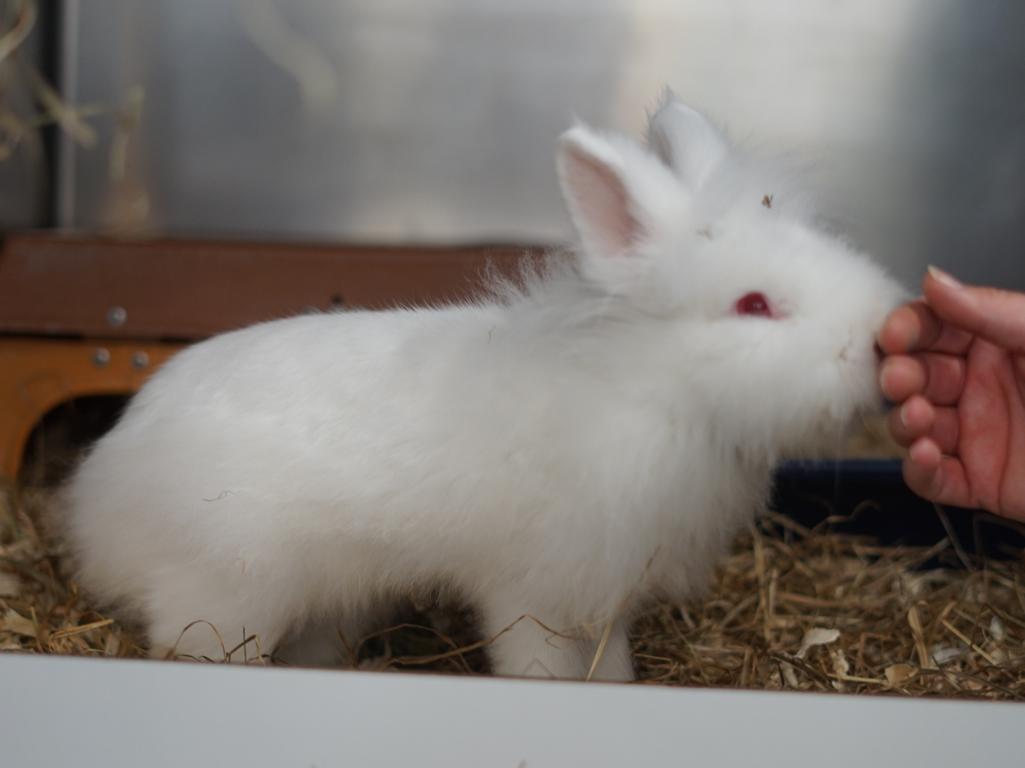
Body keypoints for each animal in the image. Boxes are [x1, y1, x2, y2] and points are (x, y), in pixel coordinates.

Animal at [61, 94, 905, 681]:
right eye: (753, 306)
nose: (880, 334)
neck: (650, 390)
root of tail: (97, 496)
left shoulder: (604, 596)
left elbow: (609, 662)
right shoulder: (528, 588)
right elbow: (535, 661)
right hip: (225, 588)